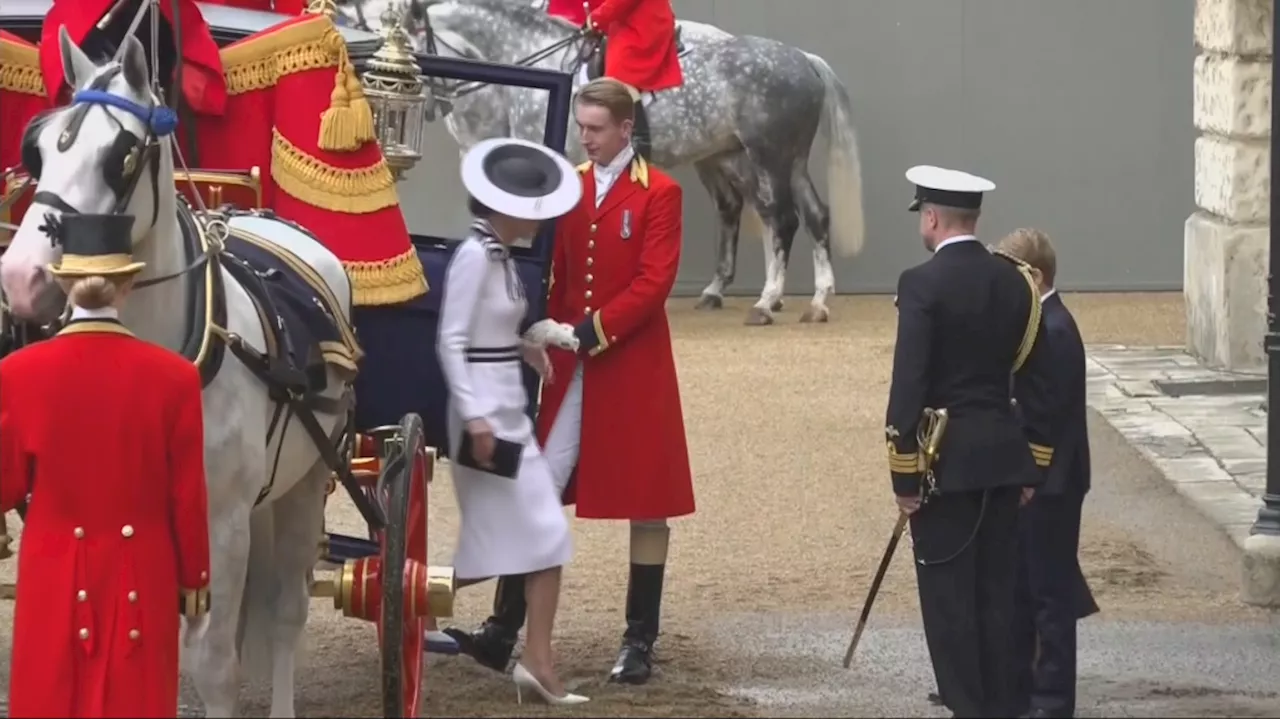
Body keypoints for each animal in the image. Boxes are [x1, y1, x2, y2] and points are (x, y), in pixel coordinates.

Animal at [0, 29, 355, 716]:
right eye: (40, 149)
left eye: (121, 155)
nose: (21, 276)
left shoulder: (222, 523)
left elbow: (213, 664)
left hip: (304, 483)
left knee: (285, 613)